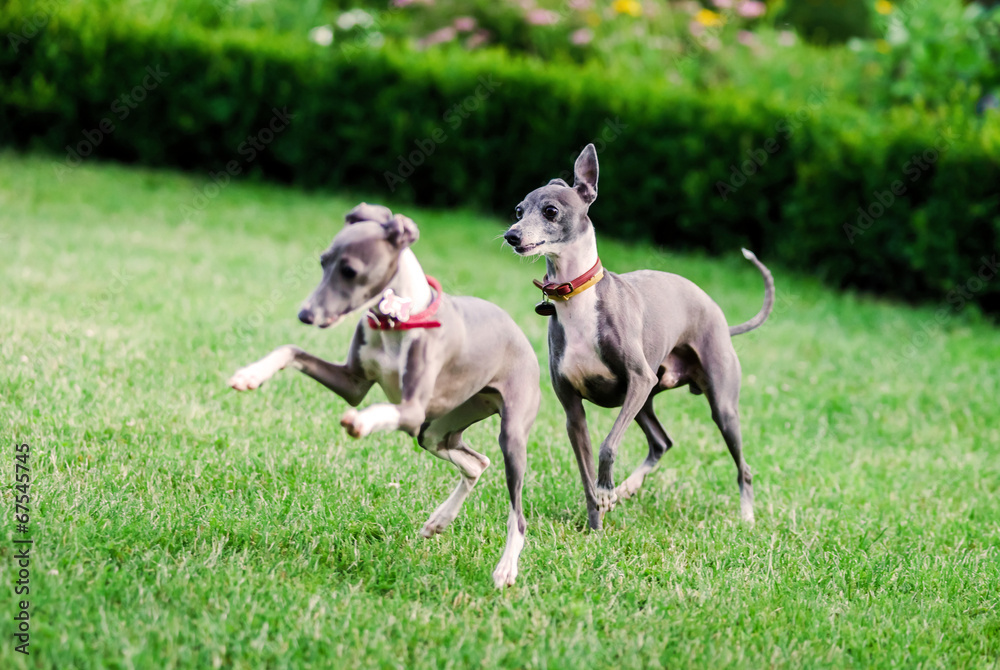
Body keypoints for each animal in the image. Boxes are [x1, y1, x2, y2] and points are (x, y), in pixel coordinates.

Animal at [229, 205, 540, 588]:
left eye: (350, 270)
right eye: (323, 261)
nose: (306, 315)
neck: (400, 320)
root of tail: (520, 332)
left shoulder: (411, 408)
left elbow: (377, 410)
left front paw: (360, 422)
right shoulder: (353, 383)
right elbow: (290, 349)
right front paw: (250, 375)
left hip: (510, 433)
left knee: (517, 512)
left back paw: (506, 567)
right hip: (436, 429)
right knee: (476, 463)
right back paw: (439, 520)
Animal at [504, 144, 776, 532]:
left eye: (551, 210)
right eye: (518, 210)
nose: (511, 236)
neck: (577, 298)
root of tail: (722, 321)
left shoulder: (637, 378)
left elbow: (608, 446)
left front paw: (606, 490)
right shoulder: (573, 410)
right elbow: (585, 472)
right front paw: (596, 524)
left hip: (714, 404)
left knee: (743, 467)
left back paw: (747, 516)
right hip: (647, 397)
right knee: (661, 442)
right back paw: (626, 489)